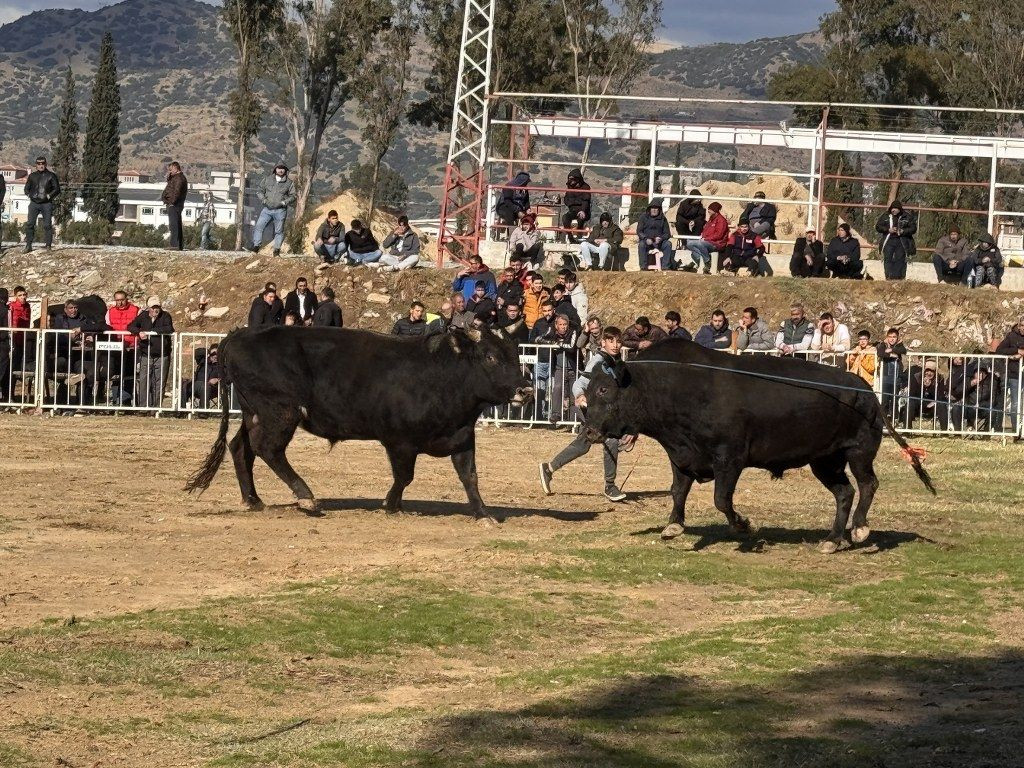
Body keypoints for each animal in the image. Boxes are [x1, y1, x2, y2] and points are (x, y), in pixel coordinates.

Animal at [185, 325, 532, 524]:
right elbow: (404, 476)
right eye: (489, 356)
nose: (525, 390)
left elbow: (470, 477)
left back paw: (253, 499)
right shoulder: (399, 441)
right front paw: (391, 505)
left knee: (240, 447)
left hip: (254, 412)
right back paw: (306, 497)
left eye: (515, 354)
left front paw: (483, 514)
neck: (442, 373)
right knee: (267, 448)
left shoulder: (462, 437)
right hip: (280, 412)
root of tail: (241, 334)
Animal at [585, 342, 937, 552]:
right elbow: (678, 490)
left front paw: (743, 526)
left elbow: (721, 499)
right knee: (845, 492)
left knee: (867, 484)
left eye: (603, 390)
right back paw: (832, 540)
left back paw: (860, 530)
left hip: (859, 451)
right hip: (825, 460)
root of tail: (866, 390)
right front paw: (673, 526)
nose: (589, 431)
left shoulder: (730, 458)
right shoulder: (681, 454)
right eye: (587, 391)